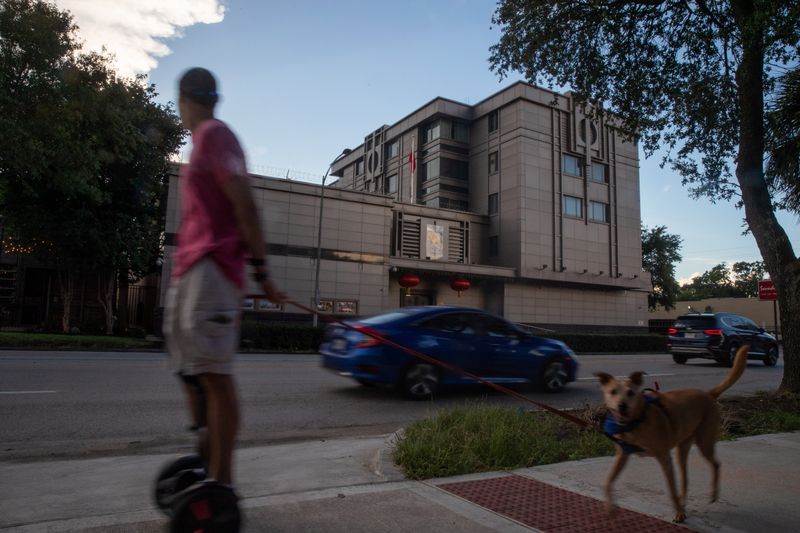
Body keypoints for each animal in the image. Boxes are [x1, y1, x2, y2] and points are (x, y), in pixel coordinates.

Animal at [596, 342, 748, 520]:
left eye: (631, 392)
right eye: (612, 392)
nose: (622, 406)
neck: (637, 420)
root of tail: (708, 394)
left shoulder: (664, 457)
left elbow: (671, 490)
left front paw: (679, 513)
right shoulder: (623, 454)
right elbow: (608, 481)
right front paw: (609, 507)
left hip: (704, 442)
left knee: (716, 464)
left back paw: (712, 495)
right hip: (683, 448)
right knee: (685, 479)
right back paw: (684, 502)